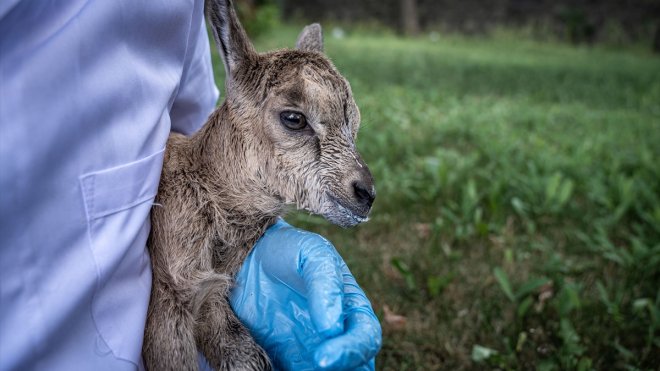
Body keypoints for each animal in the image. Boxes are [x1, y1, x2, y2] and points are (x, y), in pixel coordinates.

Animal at [141, 0, 374, 370]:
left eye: (354, 123)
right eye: (293, 118)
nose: (366, 193)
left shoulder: (212, 293)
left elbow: (245, 355)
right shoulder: (170, 290)